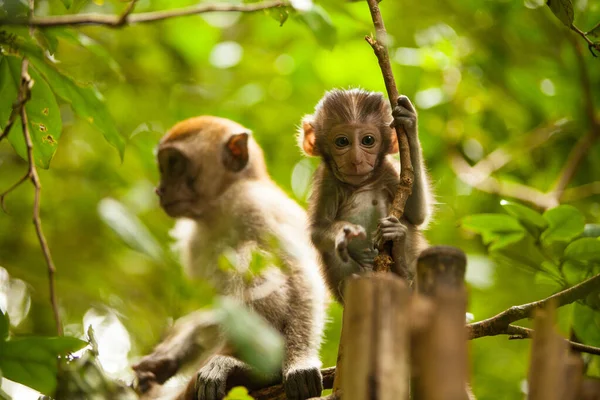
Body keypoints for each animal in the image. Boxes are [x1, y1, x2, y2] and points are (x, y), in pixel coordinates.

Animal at [300, 89, 432, 302]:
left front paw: (410, 125)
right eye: (342, 142)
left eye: (368, 141)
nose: (356, 160)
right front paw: (344, 233)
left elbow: (416, 214)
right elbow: (318, 230)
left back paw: (400, 255)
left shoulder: (388, 171)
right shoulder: (326, 181)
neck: (360, 184)